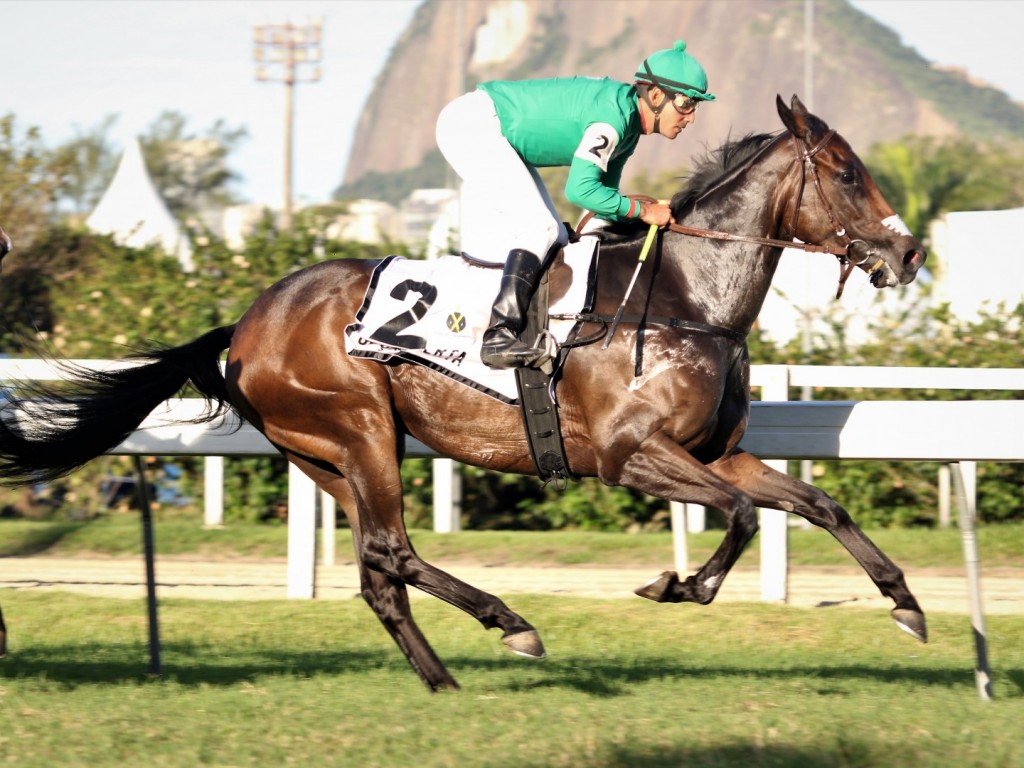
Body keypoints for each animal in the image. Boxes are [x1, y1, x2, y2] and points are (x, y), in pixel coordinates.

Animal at [0, 96, 929, 692]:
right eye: (845, 171)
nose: (910, 252)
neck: (684, 299)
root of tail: (247, 323)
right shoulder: (630, 456)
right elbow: (740, 517)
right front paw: (676, 587)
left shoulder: (719, 453)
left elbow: (817, 504)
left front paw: (907, 605)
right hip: (361, 426)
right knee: (393, 551)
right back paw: (510, 623)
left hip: (326, 457)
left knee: (378, 570)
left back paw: (444, 680)